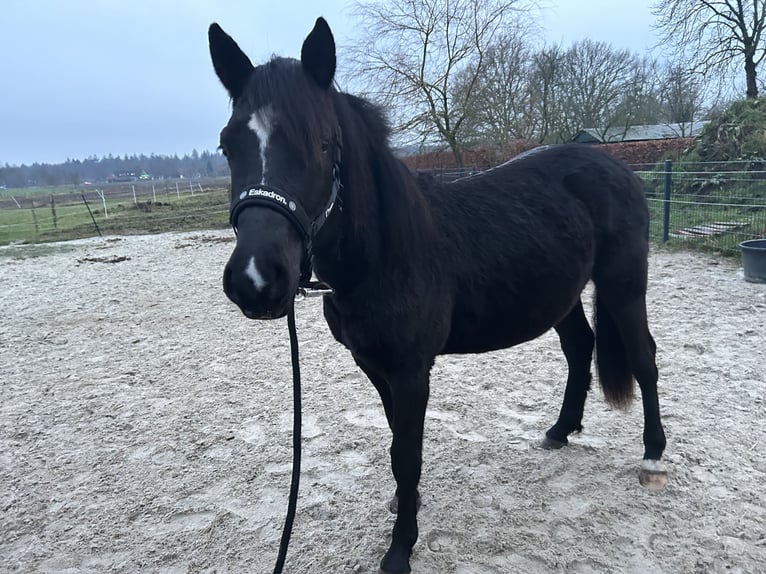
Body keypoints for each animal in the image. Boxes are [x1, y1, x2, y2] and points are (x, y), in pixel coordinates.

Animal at [208, 18, 664, 574]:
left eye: (322, 143)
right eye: (228, 146)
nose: (255, 278)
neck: (386, 251)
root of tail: (616, 168)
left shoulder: (411, 370)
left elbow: (407, 454)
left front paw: (400, 548)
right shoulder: (375, 366)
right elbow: (396, 443)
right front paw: (405, 508)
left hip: (624, 283)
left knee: (643, 356)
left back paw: (652, 457)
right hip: (563, 294)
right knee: (580, 347)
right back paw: (559, 431)